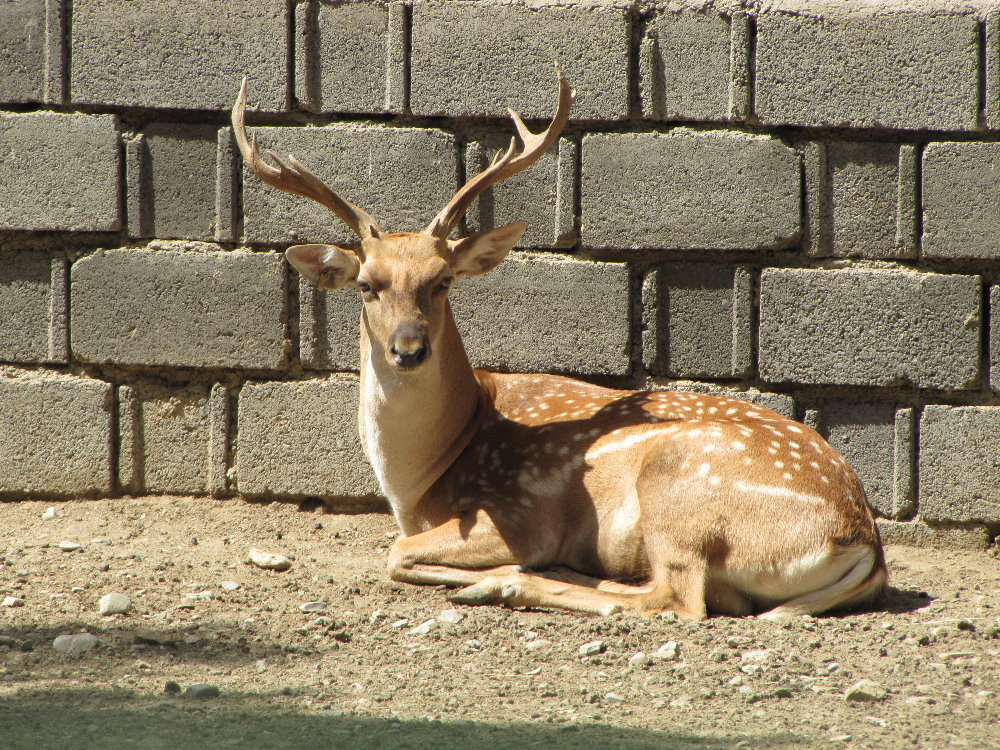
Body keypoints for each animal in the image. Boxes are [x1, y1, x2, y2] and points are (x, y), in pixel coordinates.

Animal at [231, 74, 887, 619]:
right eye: (367, 285)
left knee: (680, 598)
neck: (421, 477)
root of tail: (862, 543)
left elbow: (397, 552)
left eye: (442, 281)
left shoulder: (519, 511)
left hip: (680, 488)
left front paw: (489, 573)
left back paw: (508, 583)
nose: (408, 349)